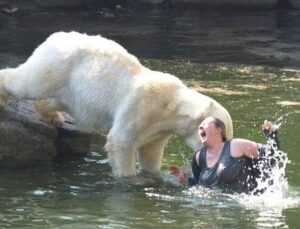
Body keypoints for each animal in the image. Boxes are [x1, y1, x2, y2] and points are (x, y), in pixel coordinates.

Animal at [0, 30, 234, 177]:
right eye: (223, 134)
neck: (171, 106)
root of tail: (55, 36)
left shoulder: (159, 131)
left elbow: (150, 152)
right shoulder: (141, 107)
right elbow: (121, 142)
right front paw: (129, 179)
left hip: (71, 87)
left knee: (58, 100)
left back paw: (53, 116)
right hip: (59, 64)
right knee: (30, 82)